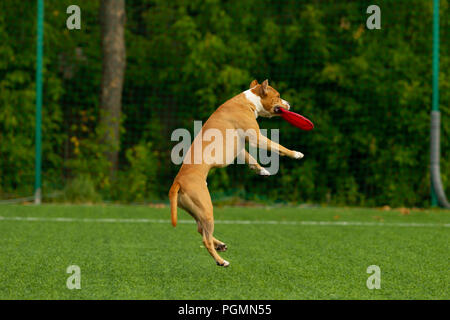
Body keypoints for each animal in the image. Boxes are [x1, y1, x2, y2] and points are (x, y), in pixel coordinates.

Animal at [167, 80, 304, 268]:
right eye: (278, 96)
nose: (289, 104)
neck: (248, 101)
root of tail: (178, 182)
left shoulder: (239, 147)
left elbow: (251, 159)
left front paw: (261, 170)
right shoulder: (257, 138)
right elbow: (279, 147)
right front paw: (296, 154)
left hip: (197, 211)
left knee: (201, 229)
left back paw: (220, 245)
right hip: (206, 208)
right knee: (205, 239)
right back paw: (220, 260)